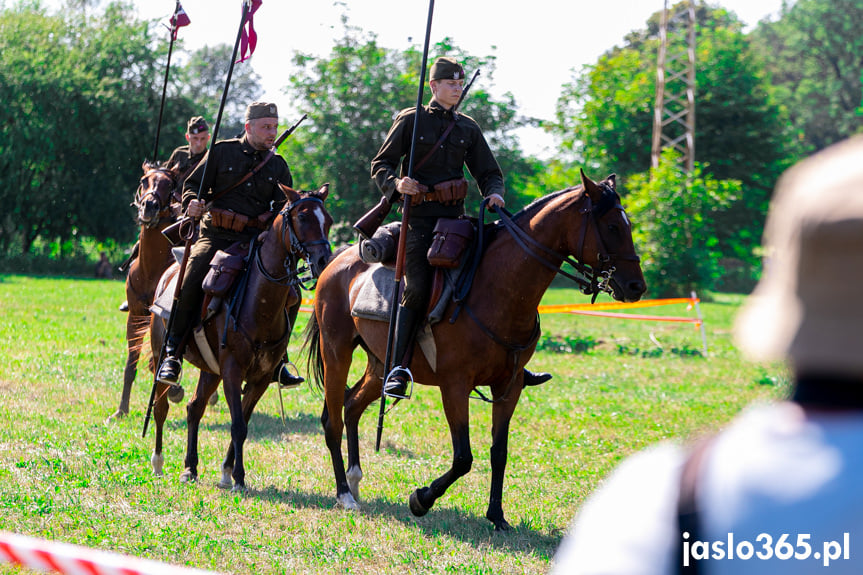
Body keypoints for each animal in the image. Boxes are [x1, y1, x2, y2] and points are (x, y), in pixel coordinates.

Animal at [109, 162, 181, 424]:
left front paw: (174, 391)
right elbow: (132, 364)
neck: (151, 269)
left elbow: (154, 362)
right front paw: (121, 410)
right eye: (144, 181)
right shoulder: (136, 316)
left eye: (169, 184)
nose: (149, 206)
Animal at [148, 183, 330, 490]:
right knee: (161, 407)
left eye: (327, 220)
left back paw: (190, 467)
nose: (323, 261)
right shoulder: (233, 370)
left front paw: (227, 472)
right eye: (303, 217)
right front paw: (239, 477)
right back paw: (158, 462)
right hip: (164, 357)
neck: (260, 302)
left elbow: (242, 421)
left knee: (194, 408)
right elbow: (238, 425)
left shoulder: (260, 379)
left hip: (211, 370)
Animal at [302, 170, 640, 532]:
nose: (637, 286)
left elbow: (499, 451)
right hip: (337, 352)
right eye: (612, 227)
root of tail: (337, 260)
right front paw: (421, 499)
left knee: (352, 406)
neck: (499, 289)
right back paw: (343, 493)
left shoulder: (509, 386)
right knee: (332, 420)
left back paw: (354, 480)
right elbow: (463, 457)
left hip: (380, 364)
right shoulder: (455, 386)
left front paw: (497, 515)